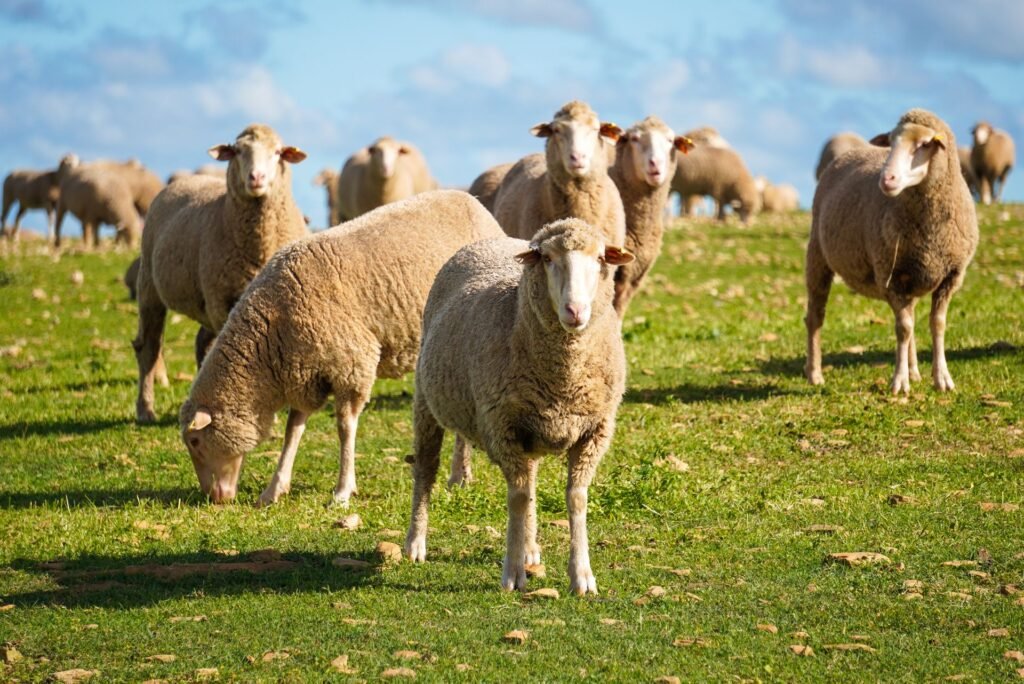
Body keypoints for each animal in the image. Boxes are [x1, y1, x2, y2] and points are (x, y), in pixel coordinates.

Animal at [134, 123, 309, 424]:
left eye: (277, 152)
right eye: (237, 151)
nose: (256, 177)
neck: (260, 246)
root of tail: (184, 180)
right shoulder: (222, 301)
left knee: (202, 343)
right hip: (151, 289)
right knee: (150, 347)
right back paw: (146, 409)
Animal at [179, 190, 504, 505]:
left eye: (195, 441)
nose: (212, 497)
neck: (270, 330)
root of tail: (472, 201)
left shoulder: (352, 364)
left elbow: (345, 428)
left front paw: (343, 490)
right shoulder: (304, 375)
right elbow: (292, 430)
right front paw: (274, 489)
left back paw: (459, 474)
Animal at [404, 218, 634, 595]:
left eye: (601, 258)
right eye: (547, 258)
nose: (575, 311)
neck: (564, 376)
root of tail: (487, 242)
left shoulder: (594, 432)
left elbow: (575, 497)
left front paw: (582, 575)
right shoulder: (502, 429)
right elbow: (517, 499)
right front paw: (512, 573)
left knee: (531, 481)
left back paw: (530, 548)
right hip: (426, 401)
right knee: (426, 469)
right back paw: (415, 543)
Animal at [805, 108, 978, 395]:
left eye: (924, 144)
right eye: (890, 143)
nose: (886, 180)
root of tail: (849, 152)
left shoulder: (951, 276)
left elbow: (937, 324)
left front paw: (941, 378)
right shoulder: (891, 275)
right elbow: (903, 328)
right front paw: (899, 381)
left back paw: (915, 370)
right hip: (818, 256)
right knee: (815, 317)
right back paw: (814, 374)